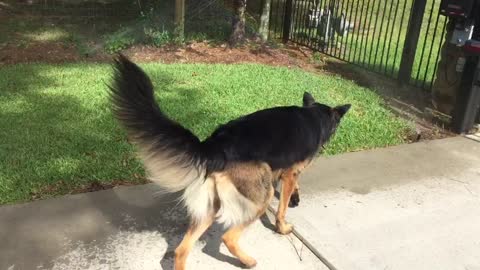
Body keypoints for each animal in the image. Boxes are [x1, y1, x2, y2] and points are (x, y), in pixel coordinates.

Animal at [109, 55, 348, 270]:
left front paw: (295, 197)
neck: (314, 116)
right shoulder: (290, 173)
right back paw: (248, 261)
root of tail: (214, 145)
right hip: (261, 197)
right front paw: (283, 226)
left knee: (180, 250)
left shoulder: (285, 171)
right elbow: (282, 208)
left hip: (210, 206)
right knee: (229, 237)